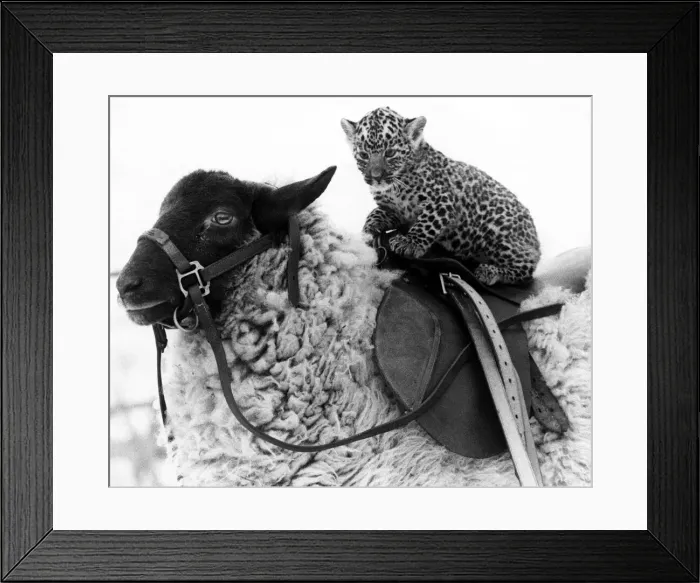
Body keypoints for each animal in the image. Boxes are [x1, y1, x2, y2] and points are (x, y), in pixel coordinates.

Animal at [340, 106, 541, 285]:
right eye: (364, 155)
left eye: (390, 153)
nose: (376, 176)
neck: (395, 186)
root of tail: (535, 240)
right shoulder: (395, 210)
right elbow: (377, 211)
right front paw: (369, 228)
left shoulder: (442, 200)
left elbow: (427, 222)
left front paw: (410, 243)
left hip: (500, 235)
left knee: (526, 268)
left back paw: (490, 271)